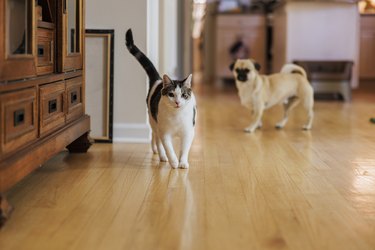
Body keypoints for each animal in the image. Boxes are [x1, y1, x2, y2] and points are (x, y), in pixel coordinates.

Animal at [125, 28, 197, 170]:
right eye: (171, 94)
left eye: (183, 95)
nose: (177, 102)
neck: (176, 115)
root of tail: (158, 80)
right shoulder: (165, 133)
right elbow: (168, 148)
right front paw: (174, 162)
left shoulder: (188, 132)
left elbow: (184, 149)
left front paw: (183, 162)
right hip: (154, 120)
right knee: (156, 137)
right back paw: (161, 155)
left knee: (154, 136)